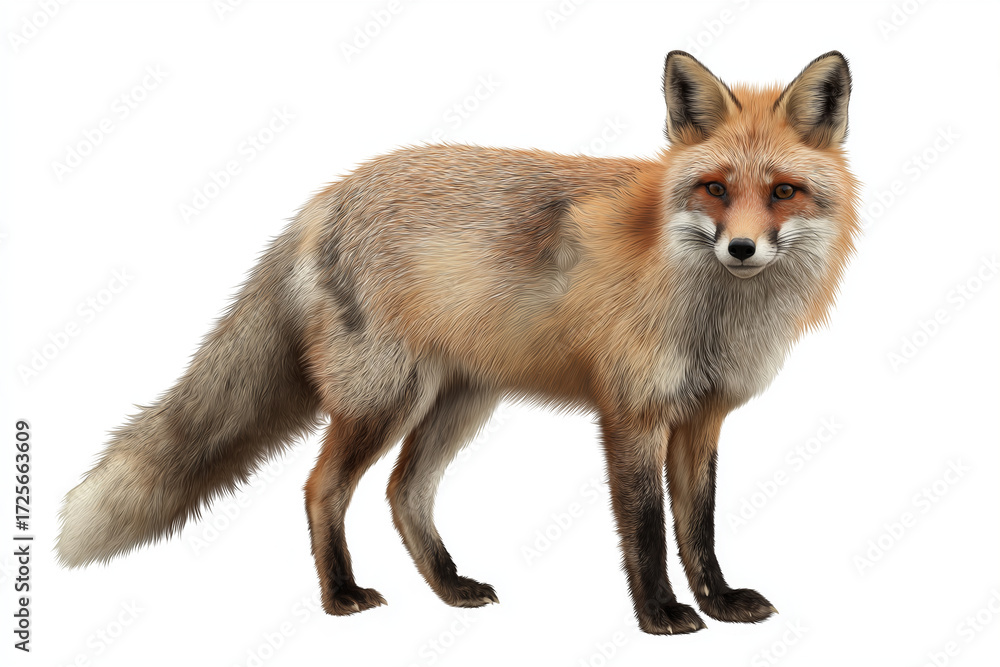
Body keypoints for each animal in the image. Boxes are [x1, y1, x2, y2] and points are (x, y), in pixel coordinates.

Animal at [57, 51, 859, 635]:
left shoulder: (701, 418)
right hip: (385, 399)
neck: (713, 311)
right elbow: (648, 530)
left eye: (783, 191)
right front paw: (661, 614)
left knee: (403, 491)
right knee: (324, 488)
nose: (742, 249)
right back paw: (341, 595)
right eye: (716, 189)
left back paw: (449, 587)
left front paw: (720, 602)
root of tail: (329, 193)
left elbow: (700, 525)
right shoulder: (631, 414)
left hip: (460, 403)